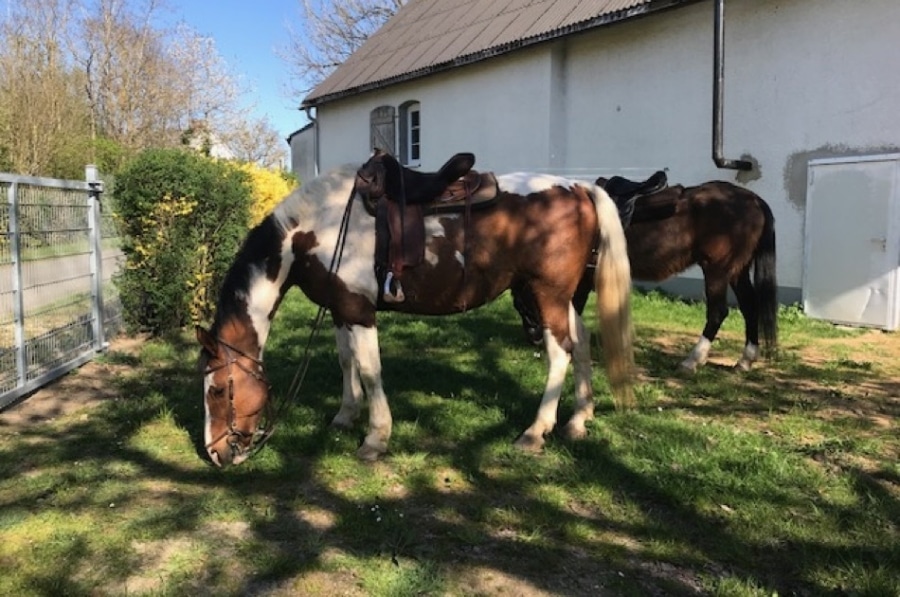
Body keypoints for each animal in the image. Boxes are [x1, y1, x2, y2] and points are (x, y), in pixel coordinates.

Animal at [197, 150, 632, 466]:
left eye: (217, 390)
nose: (217, 454)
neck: (318, 227)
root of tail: (578, 188)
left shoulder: (359, 312)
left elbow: (369, 369)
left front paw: (375, 438)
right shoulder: (341, 309)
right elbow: (346, 360)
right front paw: (345, 415)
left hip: (546, 293)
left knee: (560, 353)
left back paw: (535, 431)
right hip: (561, 297)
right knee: (582, 345)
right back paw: (578, 419)